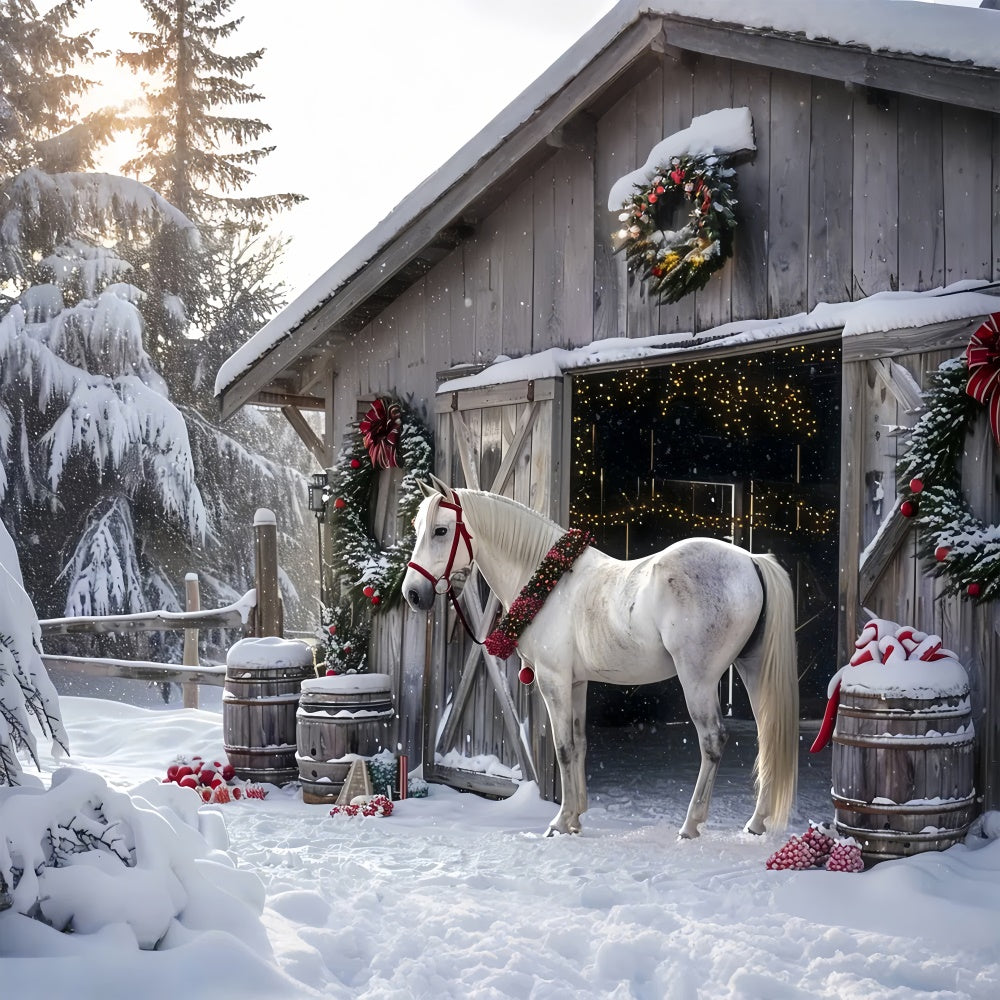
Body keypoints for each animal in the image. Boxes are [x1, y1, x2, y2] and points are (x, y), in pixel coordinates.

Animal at [402, 483, 799, 840]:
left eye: (441, 530)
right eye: (418, 529)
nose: (412, 594)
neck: (548, 581)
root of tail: (750, 560)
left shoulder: (553, 681)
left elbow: (563, 749)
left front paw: (559, 823)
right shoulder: (577, 682)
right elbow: (579, 744)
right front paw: (576, 818)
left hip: (698, 679)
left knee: (713, 740)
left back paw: (690, 826)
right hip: (751, 669)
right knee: (767, 735)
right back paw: (756, 823)